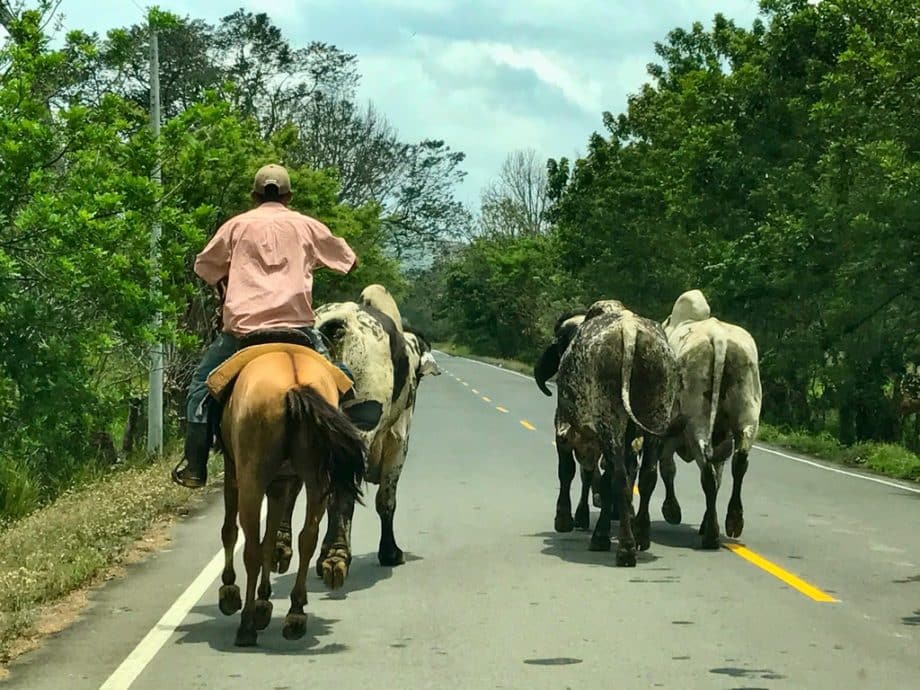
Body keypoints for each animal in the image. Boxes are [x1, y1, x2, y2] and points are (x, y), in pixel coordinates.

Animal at [207, 338, 364, 644]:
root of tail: (294, 384)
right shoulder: (281, 484)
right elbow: (272, 541)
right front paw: (264, 602)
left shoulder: (235, 472)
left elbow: (232, 532)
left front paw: (232, 593)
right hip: (316, 480)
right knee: (307, 539)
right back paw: (295, 614)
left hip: (252, 479)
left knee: (251, 550)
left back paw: (246, 625)